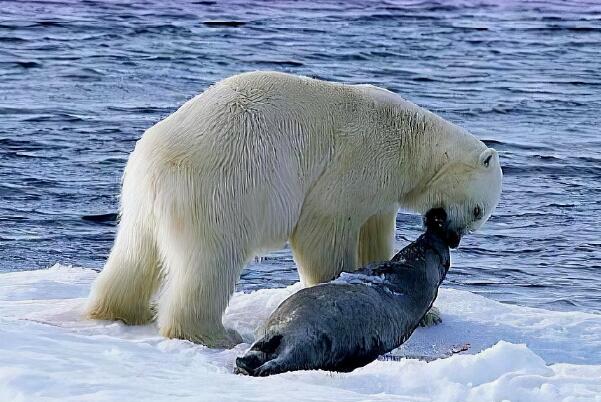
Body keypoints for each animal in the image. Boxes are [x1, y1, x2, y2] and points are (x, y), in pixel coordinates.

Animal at [86, 70, 502, 348]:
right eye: (478, 210)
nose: (453, 238)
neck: (412, 140)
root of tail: (154, 163)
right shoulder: (359, 159)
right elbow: (325, 226)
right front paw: (338, 287)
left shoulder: (381, 191)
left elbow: (375, 232)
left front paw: (428, 312)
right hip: (221, 188)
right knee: (210, 262)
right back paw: (214, 333)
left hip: (142, 200)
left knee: (136, 253)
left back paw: (122, 310)